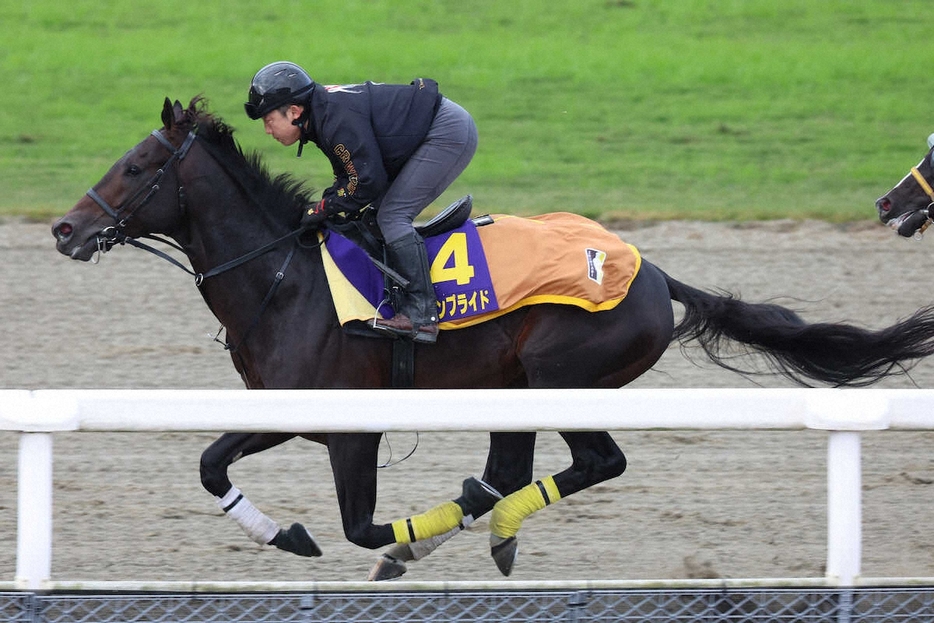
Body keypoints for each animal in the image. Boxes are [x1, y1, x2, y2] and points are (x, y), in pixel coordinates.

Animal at [53, 96, 934, 580]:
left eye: (138, 165)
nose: (65, 229)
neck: (287, 280)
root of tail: (650, 271)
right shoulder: (285, 409)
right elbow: (210, 465)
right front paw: (291, 534)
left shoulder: (350, 425)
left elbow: (356, 522)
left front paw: (363, 543)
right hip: (511, 385)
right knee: (511, 469)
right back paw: (480, 517)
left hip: (560, 376)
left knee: (595, 462)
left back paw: (493, 526)